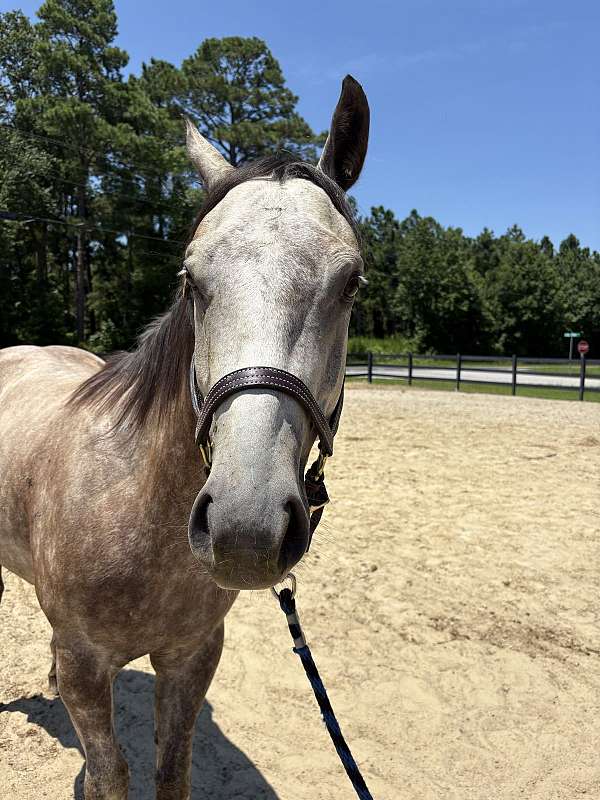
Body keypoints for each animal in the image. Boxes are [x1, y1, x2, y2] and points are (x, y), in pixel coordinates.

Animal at [0, 75, 369, 800]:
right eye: (191, 278)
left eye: (350, 284)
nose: (246, 527)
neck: (136, 511)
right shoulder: (88, 668)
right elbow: (110, 775)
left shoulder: (193, 656)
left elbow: (172, 770)